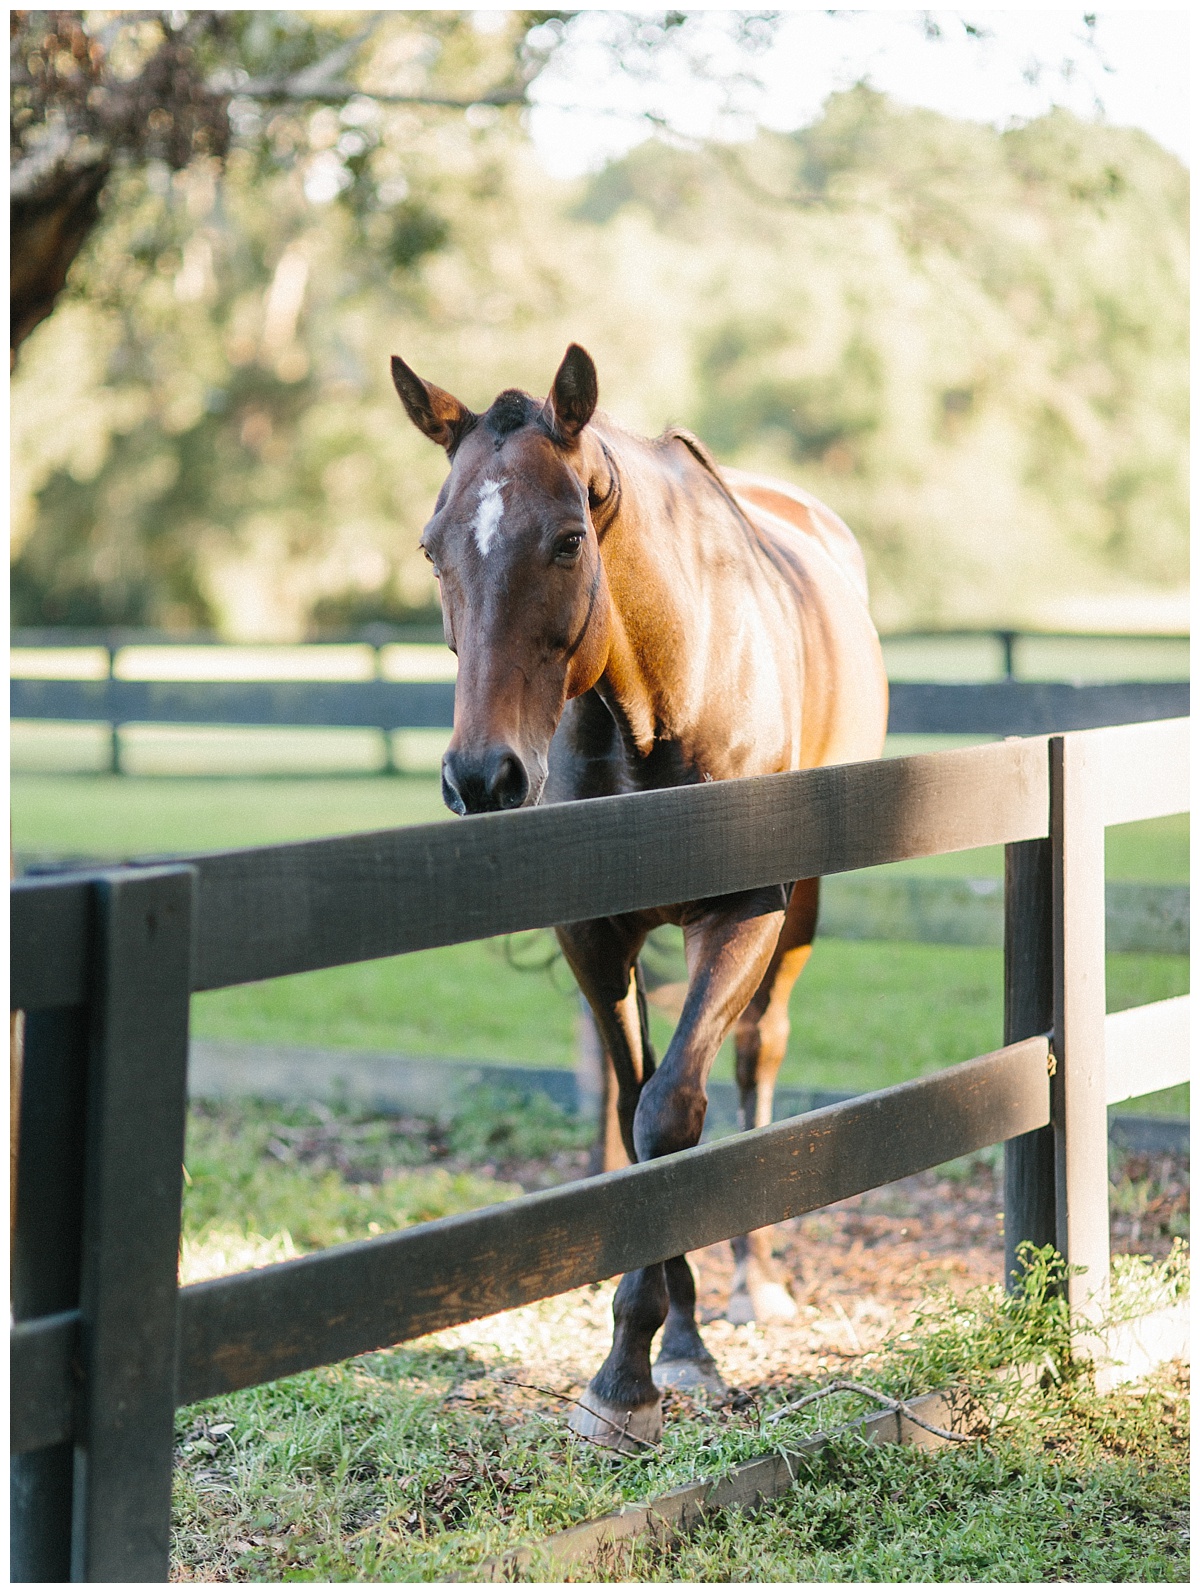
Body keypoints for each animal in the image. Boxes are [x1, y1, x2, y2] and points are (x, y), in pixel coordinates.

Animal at [388, 342, 886, 1452]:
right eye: (434, 547)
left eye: (569, 538)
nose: (482, 777)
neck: (663, 691)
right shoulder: (592, 933)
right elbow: (632, 1113)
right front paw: (654, 1346)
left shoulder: (743, 915)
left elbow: (674, 1113)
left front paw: (642, 1367)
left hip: (804, 908)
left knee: (757, 1056)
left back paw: (753, 1282)